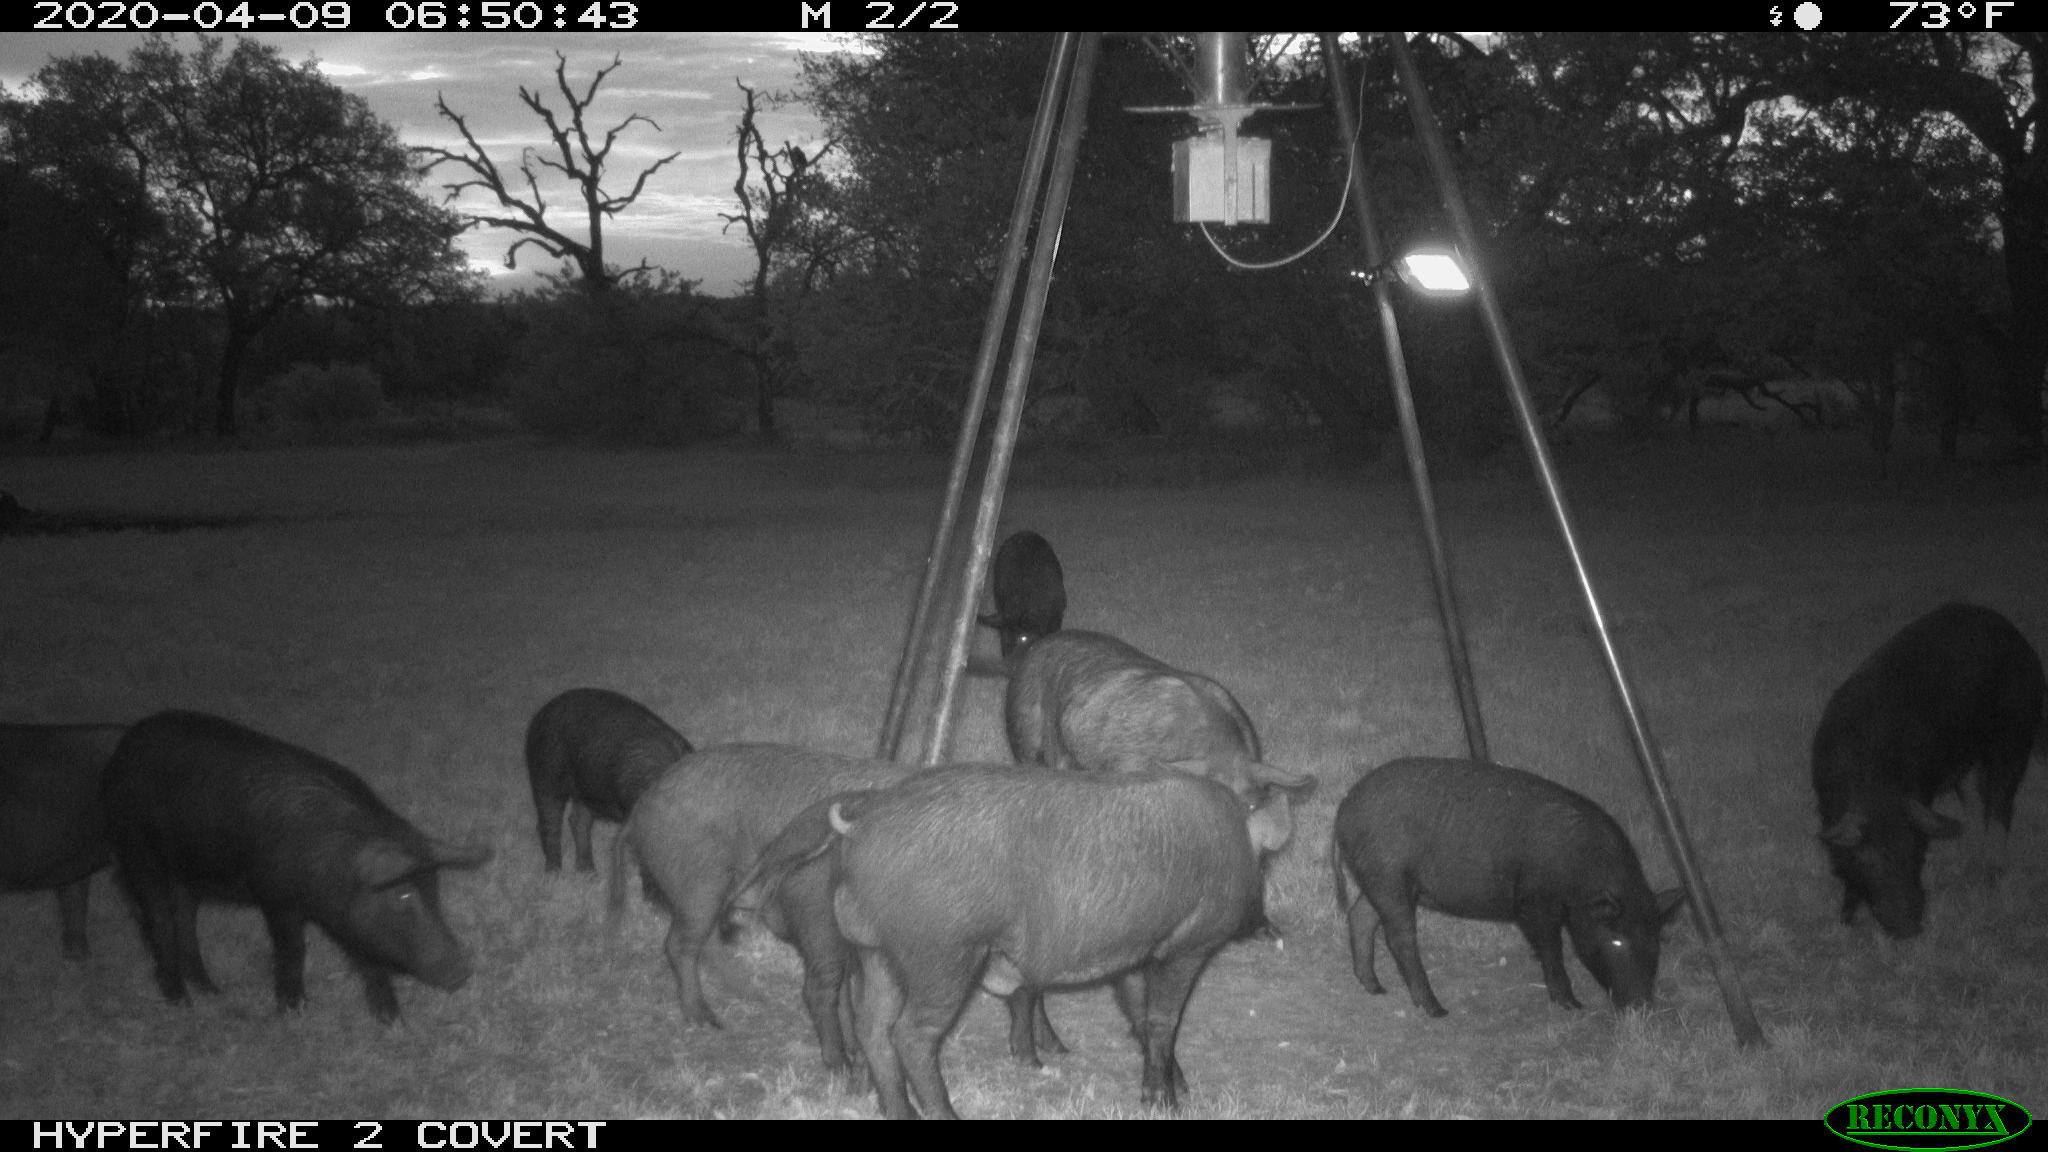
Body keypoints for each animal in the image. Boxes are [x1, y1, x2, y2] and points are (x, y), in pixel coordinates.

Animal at [100, 711, 490, 1023]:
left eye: (434, 890)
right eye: (403, 894)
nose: (463, 972)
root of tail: (124, 745)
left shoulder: (346, 916)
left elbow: (367, 958)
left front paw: (392, 1022)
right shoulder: (275, 895)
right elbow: (292, 950)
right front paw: (294, 1011)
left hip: (188, 871)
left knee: (184, 918)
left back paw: (213, 992)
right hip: (136, 848)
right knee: (159, 919)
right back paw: (181, 1002)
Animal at [525, 688, 691, 872]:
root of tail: (541, 713)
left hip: (587, 787)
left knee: (578, 819)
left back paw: (588, 872)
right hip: (546, 772)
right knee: (549, 821)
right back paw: (554, 873)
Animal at [809, 763, 1283, 1119]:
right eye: (1265, 861)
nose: (1268, 927)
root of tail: (862, 826)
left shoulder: (1135, 953)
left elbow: (1140, 1015)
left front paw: (1175, 1088)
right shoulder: (1187, 946)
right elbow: (1164, 1021)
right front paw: (1166, 1104)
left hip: (877, 952)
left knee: (873, 1028)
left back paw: (900, 1112)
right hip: (942, 956)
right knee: (911, 1035)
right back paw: (948, 1114)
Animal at [1331, 757, 1684, 1017]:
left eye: (1656, 941)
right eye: (1616, 941)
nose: (1641, 1007)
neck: (1582, 872)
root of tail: (1343, 811)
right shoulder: (1533, 902)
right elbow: (1551, 947)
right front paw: (1571, 1005)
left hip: (1380, 880)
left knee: (1360, 916)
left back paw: (1376, 988)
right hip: (1388, 875)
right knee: (1399, 938)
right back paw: (1437, 1009)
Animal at [1812, 602, 2043, 938]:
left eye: (1918, 853)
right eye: (1869, 860)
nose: (1909, 927)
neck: (1874, 784)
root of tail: (2021, 641)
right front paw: (1845, 920)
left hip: (2014, 738)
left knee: (2001, 803)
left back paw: (1990, 875)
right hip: (1968, 761)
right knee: (1976, 803)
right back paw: (1969, 865)